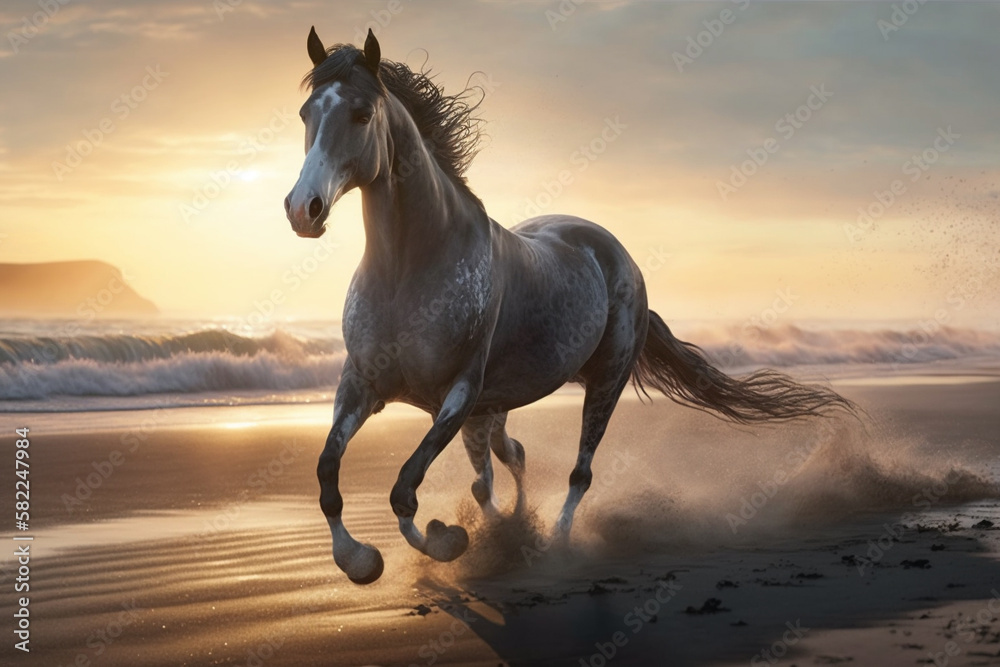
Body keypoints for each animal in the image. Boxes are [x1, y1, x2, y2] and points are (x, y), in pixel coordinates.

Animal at [283, 28, 853, 584]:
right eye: (306, 113)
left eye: (362, 113)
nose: (303, 209)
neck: (408, 270)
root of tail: (616, 252)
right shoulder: (363, 385)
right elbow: (328, 473)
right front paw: (362, 560)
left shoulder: (459, 395)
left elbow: (405, 488)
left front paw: (447, 542)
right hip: (495, 408)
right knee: (505, 462)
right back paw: (512, 533)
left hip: (602, 384)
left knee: (576, 472)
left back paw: (551, 544)